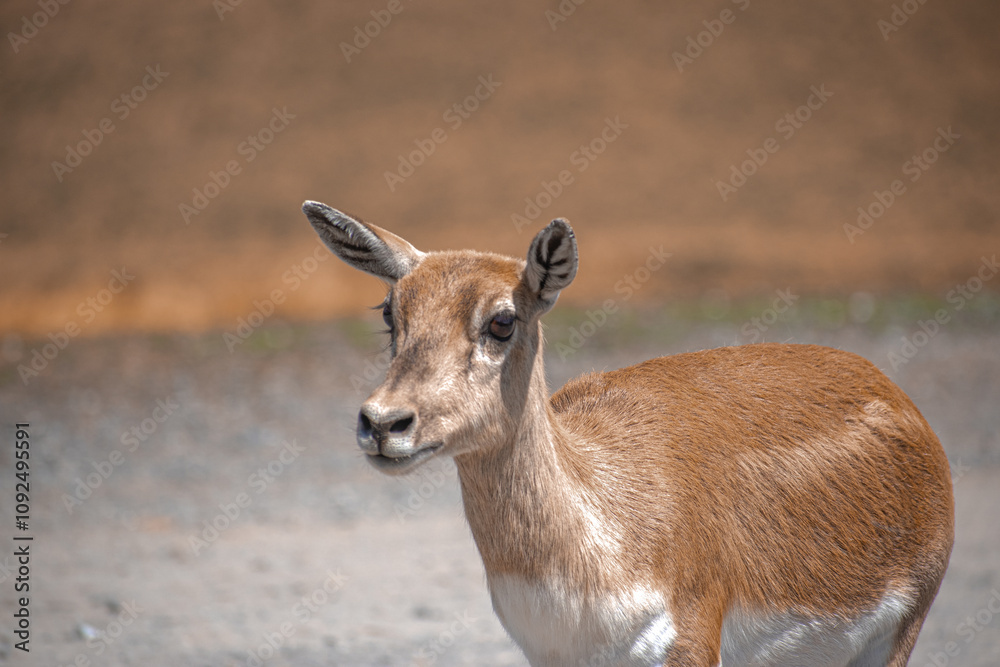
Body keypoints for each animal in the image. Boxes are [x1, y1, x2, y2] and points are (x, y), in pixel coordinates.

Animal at [301, 200, 954, 667]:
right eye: (390, 312)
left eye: (502, 320)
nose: (383, 422)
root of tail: (897, 397)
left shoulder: (694, 642)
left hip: (898, 632)